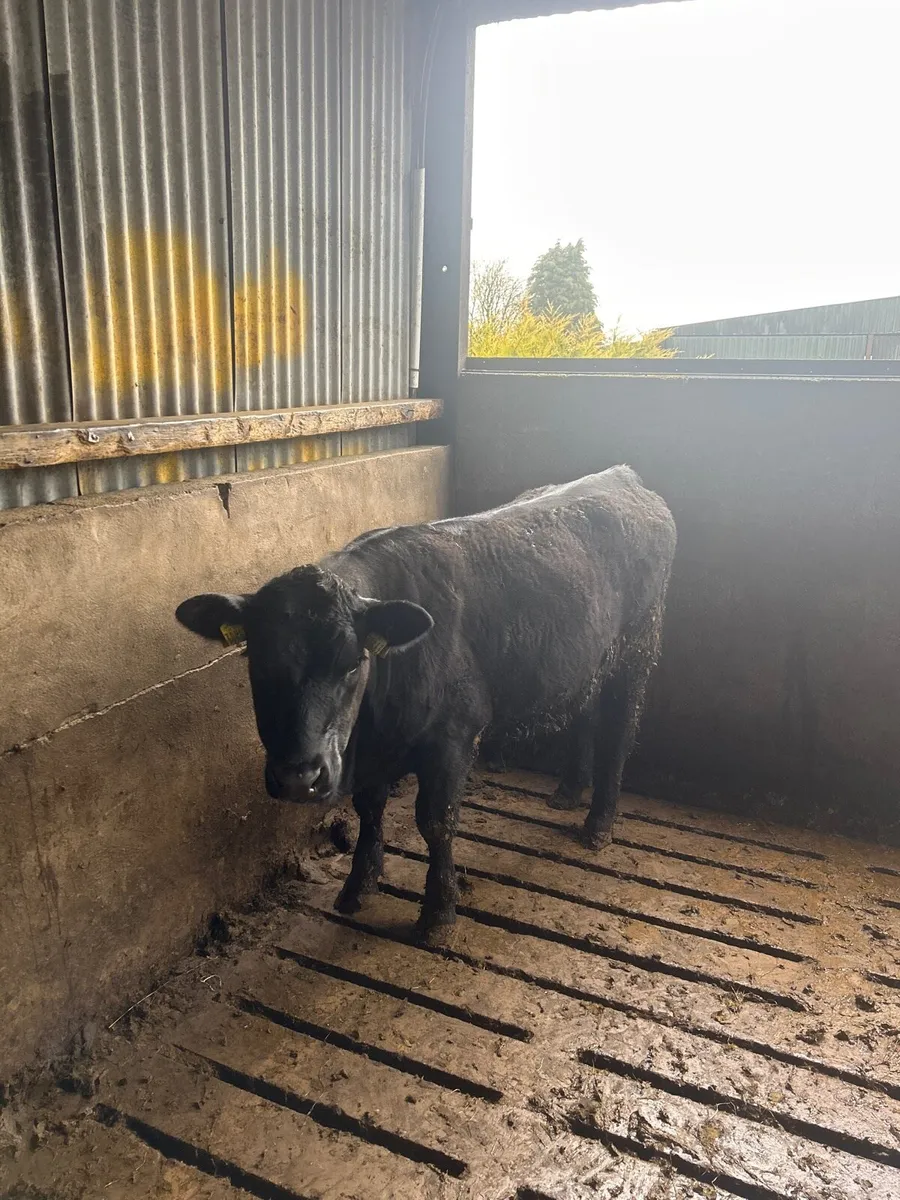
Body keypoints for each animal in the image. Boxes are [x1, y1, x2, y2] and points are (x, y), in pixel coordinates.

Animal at [175, 465, 676, 943]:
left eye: (353, 662)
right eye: (255, 660)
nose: (299, 777)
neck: (374, 725)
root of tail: (621, 475)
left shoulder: (453, 737)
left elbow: (437, 823)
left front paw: (438, 912)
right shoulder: (371, 753)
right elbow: (369, 808)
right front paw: (358, 887)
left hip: (639, 648)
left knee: (619, 731)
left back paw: (599, 824)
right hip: (589, 658)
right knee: (585, 713)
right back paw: (568, 792)